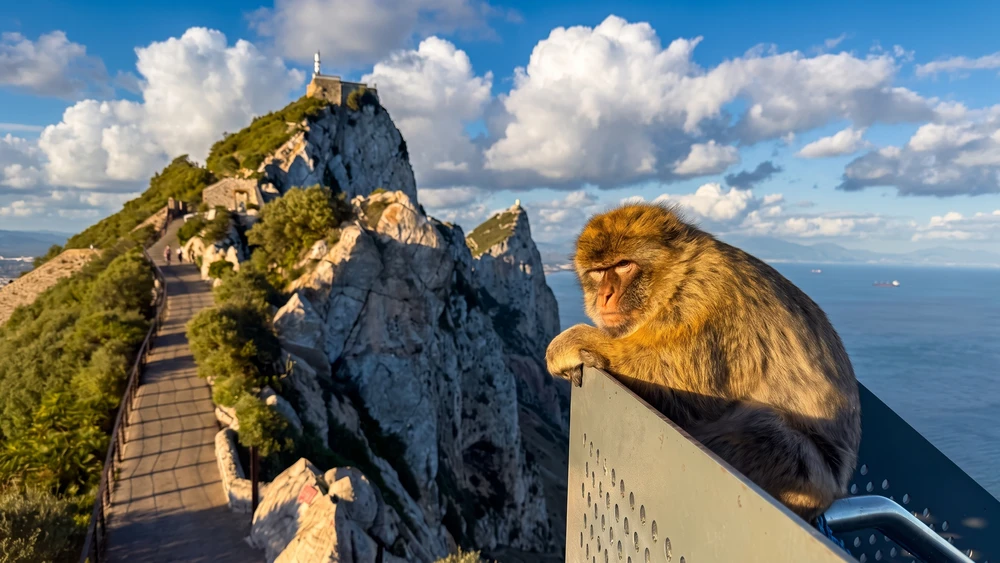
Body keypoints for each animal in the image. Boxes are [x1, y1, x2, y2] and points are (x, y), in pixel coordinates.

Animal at [546, 202, 861, 523]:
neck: (678, 280)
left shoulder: (705, 306)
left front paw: (575, 343)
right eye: (598, 272)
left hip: (805, 477)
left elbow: (681, 390)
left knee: (763, 426)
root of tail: (834, 493)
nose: (605, 295)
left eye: (623, 265)